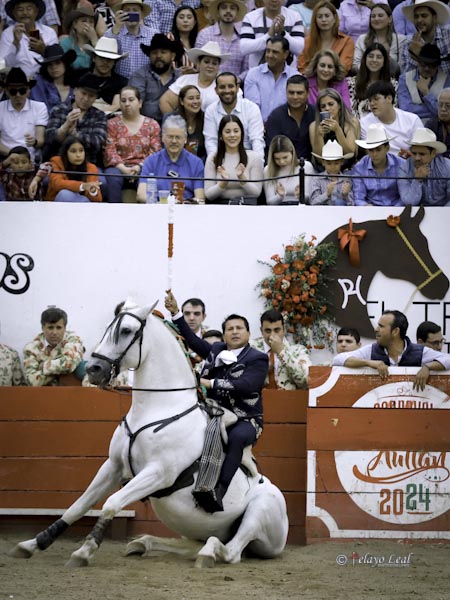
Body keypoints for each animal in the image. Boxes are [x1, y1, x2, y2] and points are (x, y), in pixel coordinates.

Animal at [9, 300, 289, 567]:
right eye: (109, 328)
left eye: (126, 331)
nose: (94, 369)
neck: (157, 408)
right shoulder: (112, 465)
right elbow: (79, 505)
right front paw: (33, 544)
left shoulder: (157, 473)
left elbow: (112, 503)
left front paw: (84, 551)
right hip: (195, 528)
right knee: (197, 544)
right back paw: (143, 543)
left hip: (260, 510)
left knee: (231, 551)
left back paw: (209, 552)